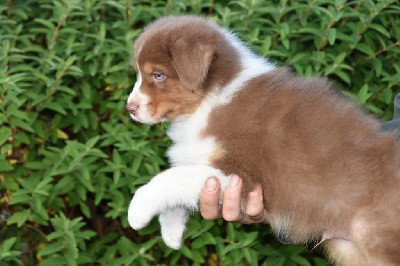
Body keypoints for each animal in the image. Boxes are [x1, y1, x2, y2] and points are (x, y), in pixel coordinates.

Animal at [126, 15, 400, 264]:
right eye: (139, 73)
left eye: (158, 75)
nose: (129, 108)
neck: (211, 99)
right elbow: (177, 188)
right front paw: (171, 232)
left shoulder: (241, 174)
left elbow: (171, 178)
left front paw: (137, 211)